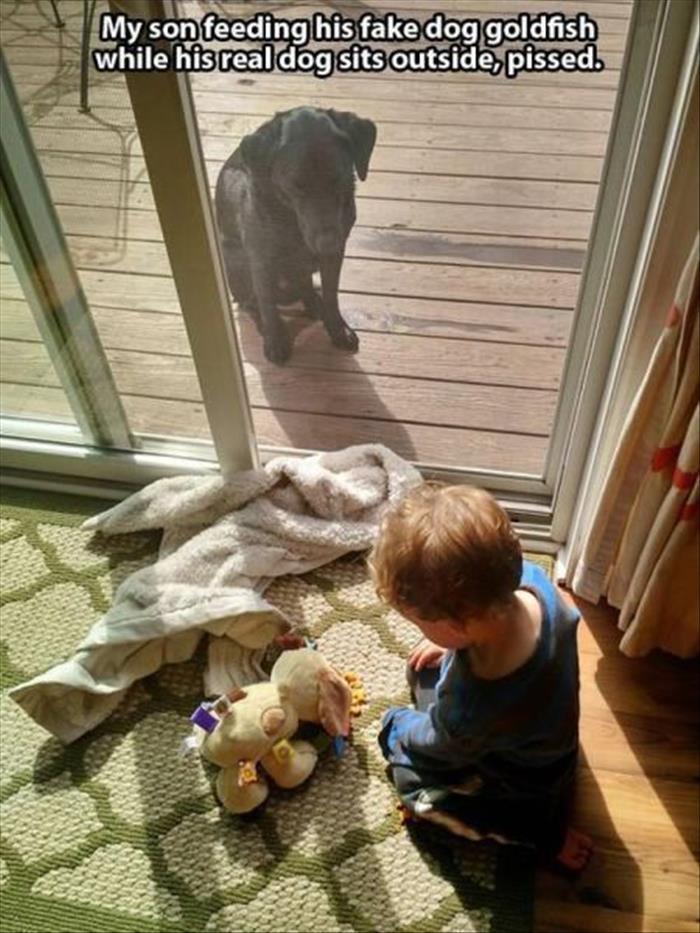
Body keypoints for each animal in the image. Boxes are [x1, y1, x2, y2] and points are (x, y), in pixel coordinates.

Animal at [215, 104, 378, 360]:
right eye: (296, 185)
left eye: (338, 178)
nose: (329, 243)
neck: (291, 222)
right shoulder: (261, 260)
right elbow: (267, 303)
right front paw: (275, 339)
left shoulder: (333, 258)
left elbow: (332, 296)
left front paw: (337, 329)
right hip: (236, 260)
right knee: (251, 302)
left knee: (306, 287)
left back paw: (314, 303)